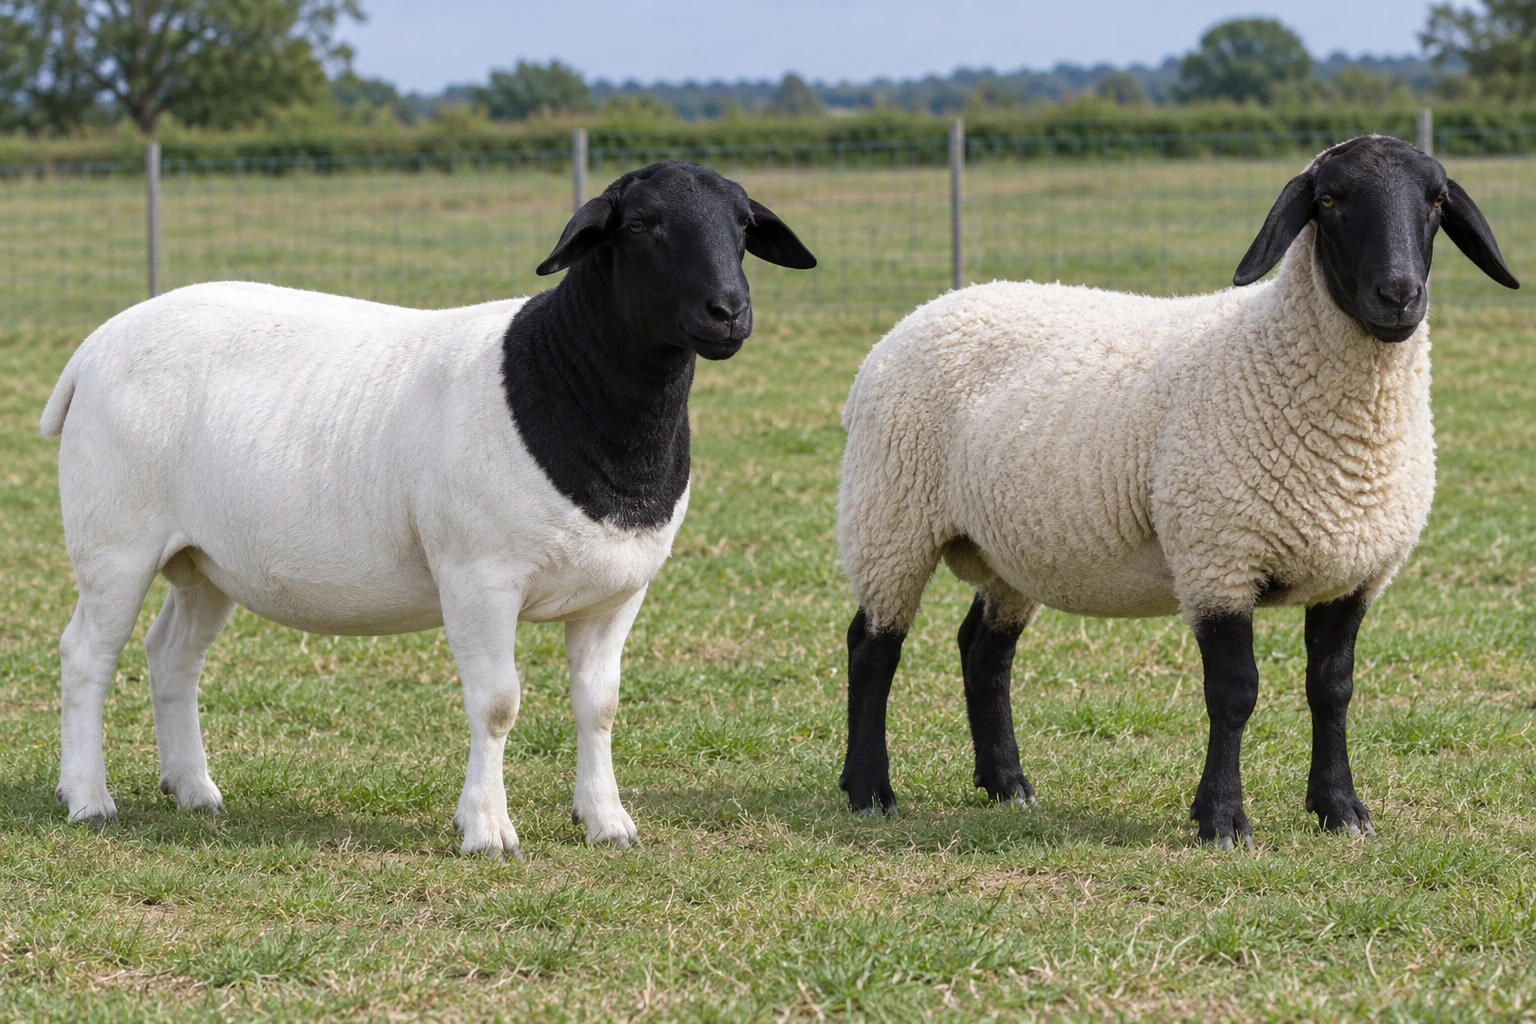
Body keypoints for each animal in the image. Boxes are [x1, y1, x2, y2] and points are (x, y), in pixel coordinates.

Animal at [40, 160, 816, 857]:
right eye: (641, 226)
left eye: (743, 226)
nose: (729, 312)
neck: (572, 390)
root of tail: (96, 344)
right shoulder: (478, 577)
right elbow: (497, 703)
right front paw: (487, 830)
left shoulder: (618, 592)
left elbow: (599, 706)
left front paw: (607, 823)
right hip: (114, 539)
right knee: (87, 656)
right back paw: (88, 799)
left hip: (204, 559)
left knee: (172, 657)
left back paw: (194, 790)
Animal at [835, 135, 1517, 847]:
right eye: (1329, 200)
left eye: (1436, 201)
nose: (1399, 295)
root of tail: (921, 314)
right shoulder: (1218, 558)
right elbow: (1235, 692)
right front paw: (1221, 819)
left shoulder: (1357, 571)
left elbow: (1333, 689)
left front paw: (1341, 809)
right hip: (889, 516)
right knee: (873, 648)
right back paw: (869, 790)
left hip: (1007, 547)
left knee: (984, 651)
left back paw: (1007, 785)